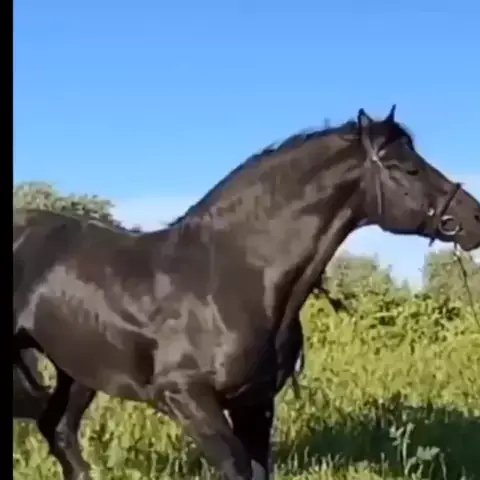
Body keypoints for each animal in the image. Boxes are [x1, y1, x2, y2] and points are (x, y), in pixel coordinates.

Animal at [13, 106, 480, 479]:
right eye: (407, 168)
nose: (473, 218)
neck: (233, 276)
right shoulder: (186, 397)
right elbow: (238, 468)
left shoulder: (255, 403)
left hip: (78, 371)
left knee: (59, 433)